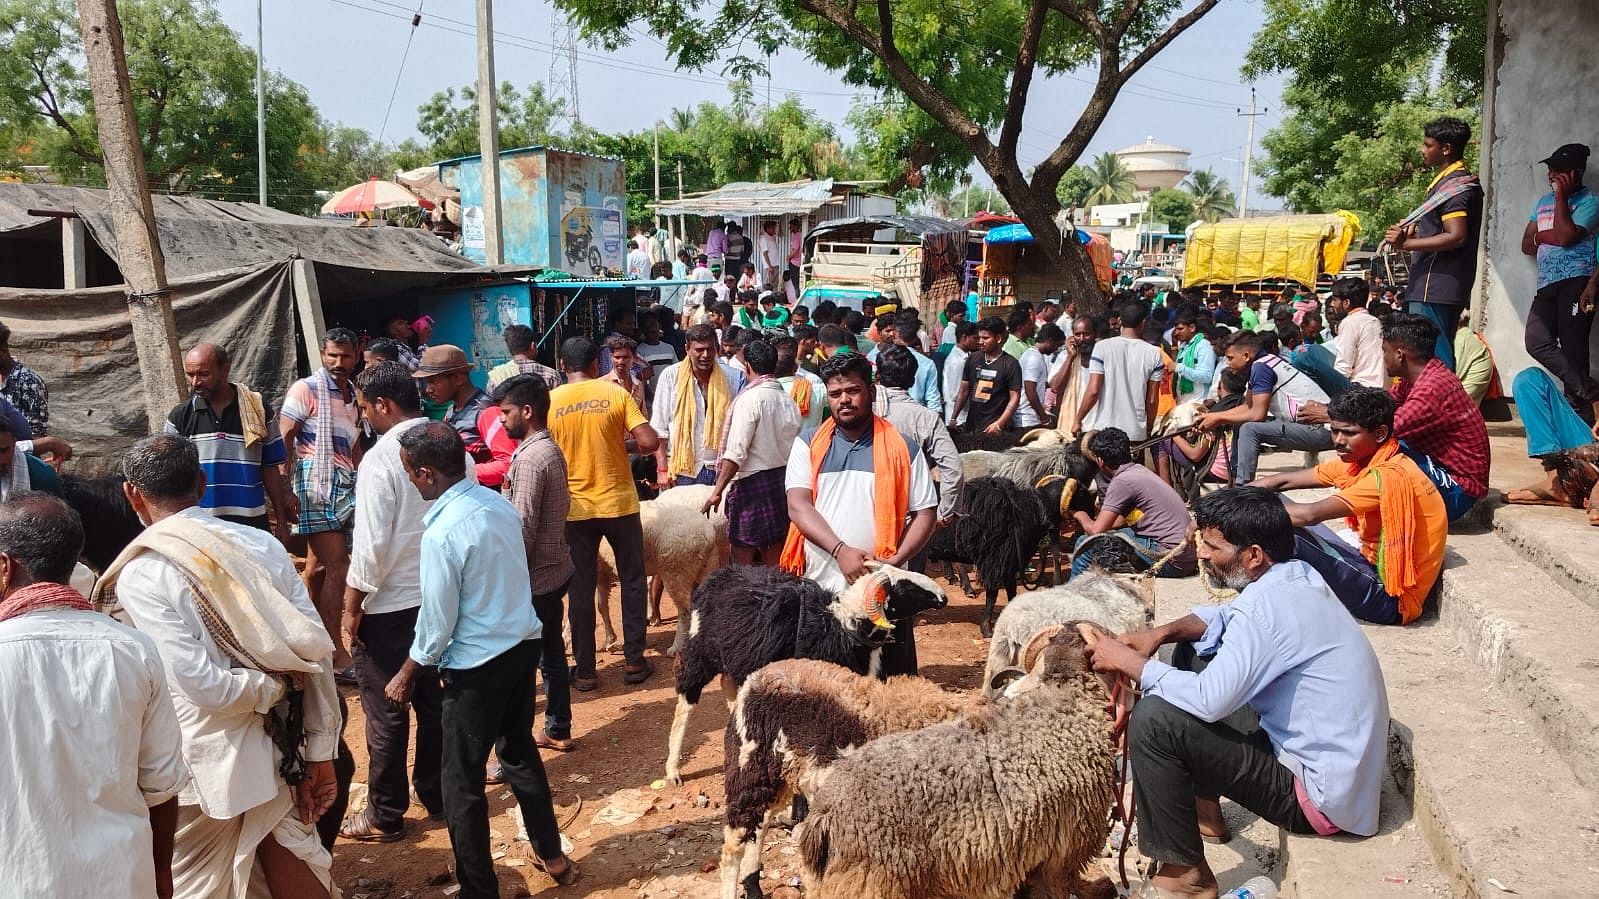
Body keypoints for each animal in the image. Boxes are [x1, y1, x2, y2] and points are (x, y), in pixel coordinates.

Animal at [665, 559, 946, 783]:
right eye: (904, 588)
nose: (943, 597)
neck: (840, 625)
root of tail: (716, 577)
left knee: (729, 686)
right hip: (698, 653)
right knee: (685, 702)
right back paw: (673, 770)